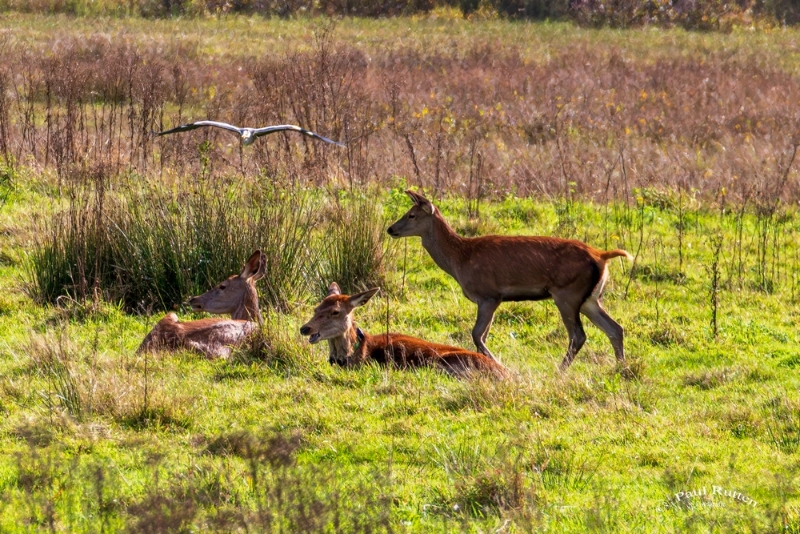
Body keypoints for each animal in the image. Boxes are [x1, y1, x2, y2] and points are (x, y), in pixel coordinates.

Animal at [388, 192, 632, 372]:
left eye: (411, 214)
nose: (391, 229)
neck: (460, 260)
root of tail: (602, 256)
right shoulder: (492, 299)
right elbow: (482, 335)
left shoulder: (488, 294)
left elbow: (477, 335)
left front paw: (498, 363)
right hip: (590, 298)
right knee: (615, 328)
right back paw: (621, 366)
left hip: (567, 293)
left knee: (578, 335)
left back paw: (560, 370)